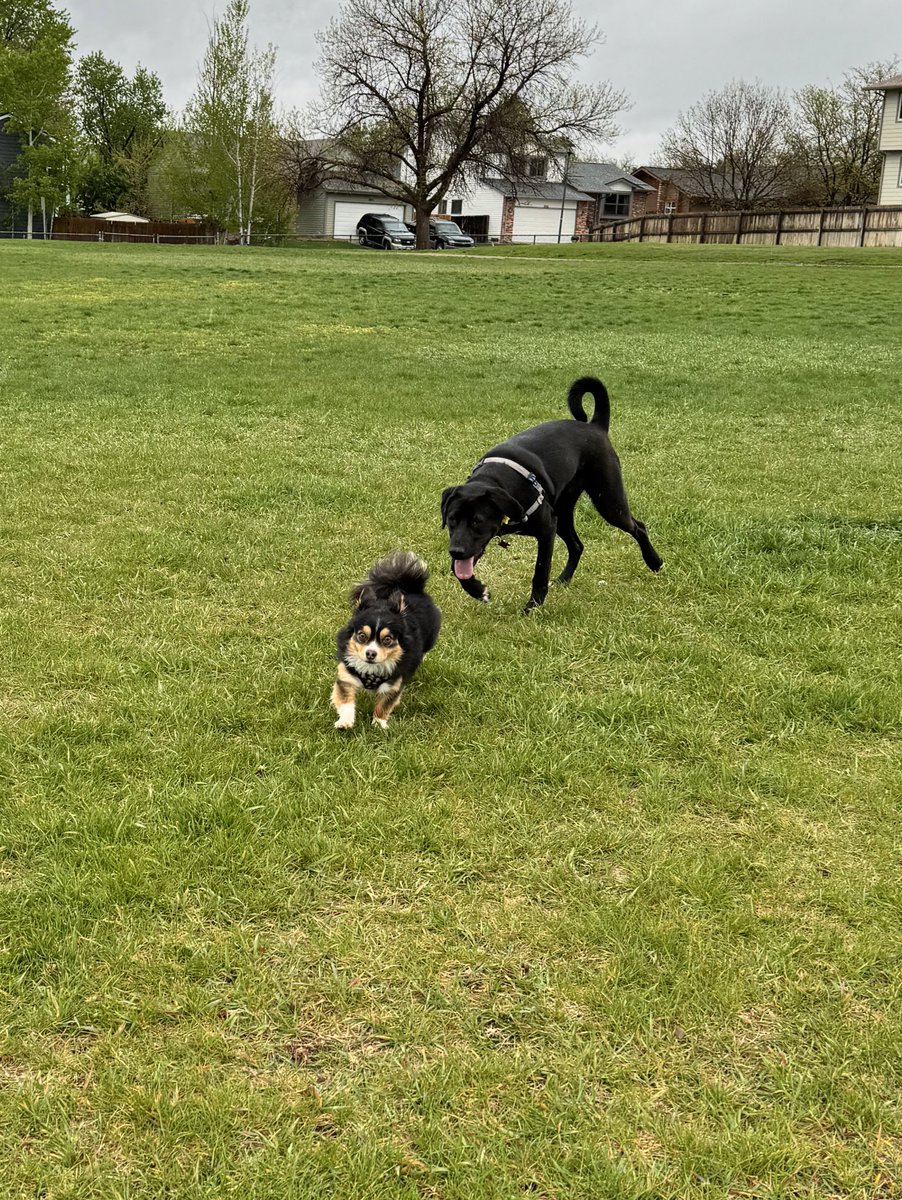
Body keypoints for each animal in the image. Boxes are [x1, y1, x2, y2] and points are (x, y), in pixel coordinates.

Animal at [333, 552, 441, 729]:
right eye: (361, 636)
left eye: (387, 640)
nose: (370, 653)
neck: (371, 670)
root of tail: (411, 587)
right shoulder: (346, 676)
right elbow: (346, 700)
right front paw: (345, 721)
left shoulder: (394, 684)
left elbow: (384, 705)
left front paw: (378, 724)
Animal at [441, 376, 662, 609]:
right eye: (452, 519)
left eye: (477, 521)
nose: (455, 551)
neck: (496, 479)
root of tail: (595, 426)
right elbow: (458, 570)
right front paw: (477, 590)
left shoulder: (546, 529)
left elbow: (540, 571)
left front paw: (533, 606)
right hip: (563, 514)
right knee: (577, 545)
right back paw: (564, 579)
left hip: (609, 502)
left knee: (638, 527)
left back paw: (654, 562)